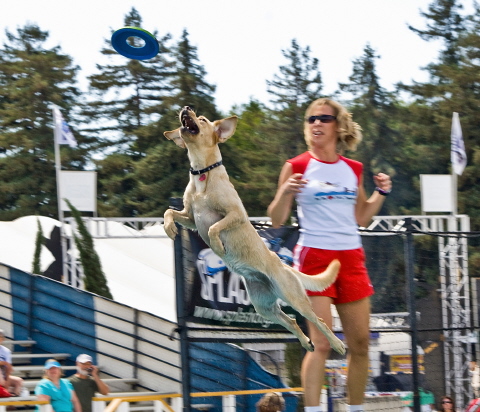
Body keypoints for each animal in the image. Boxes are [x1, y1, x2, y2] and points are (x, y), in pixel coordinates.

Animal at [163, 106, 345, 354]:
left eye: (202, 119)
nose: (186, 107)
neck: (202, 173)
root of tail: (285, 266)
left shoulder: (236, 215)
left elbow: (214, 228)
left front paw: (218, 246)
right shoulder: (191, 217)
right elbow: (169, 212)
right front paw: (169, 228)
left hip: (294, 298)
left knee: (319, 321)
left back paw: (337, 344)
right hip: (264, 305)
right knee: (291, 321)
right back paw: (306, 342)